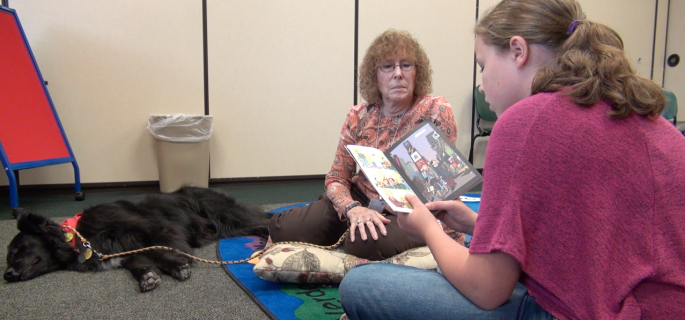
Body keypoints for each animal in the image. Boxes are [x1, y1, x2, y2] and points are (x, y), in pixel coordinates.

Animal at [6, 185, 272, 292]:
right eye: (9, 255)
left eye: (18, 249)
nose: (6, 274)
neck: (79, 237)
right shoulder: (124, 251)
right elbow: (139, 263)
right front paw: (147, 277)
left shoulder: (150, 228)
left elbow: (161, 249)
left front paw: (178, 265)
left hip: (225, 217)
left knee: (262, 221)